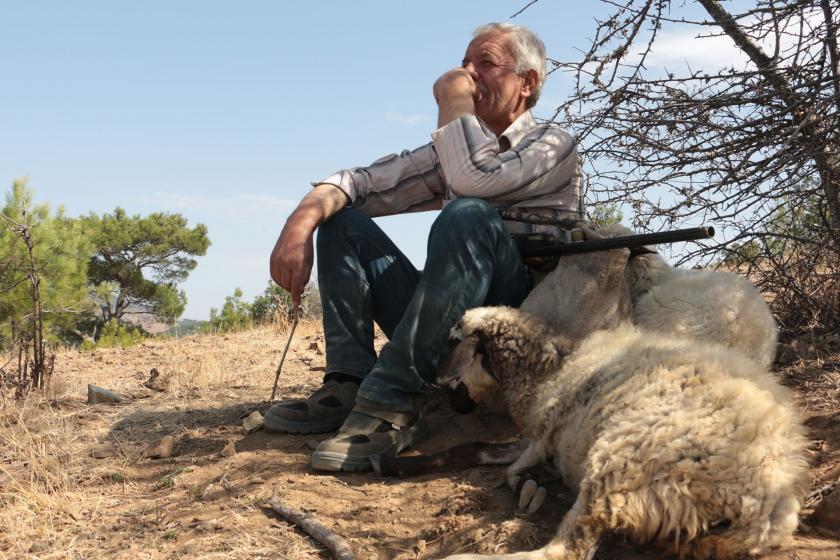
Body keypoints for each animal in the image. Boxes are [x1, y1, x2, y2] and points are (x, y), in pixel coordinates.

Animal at [442, 306, 812, 560]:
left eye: (455, 348)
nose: (452, 405)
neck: (550, 367)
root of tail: (766, 503)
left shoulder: (547, 431)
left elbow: (511, 469)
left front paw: (528, 484)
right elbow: (488, 451)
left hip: (621, 461)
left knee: (565, 550)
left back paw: (464, 557)